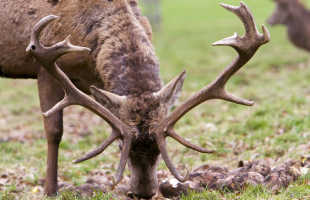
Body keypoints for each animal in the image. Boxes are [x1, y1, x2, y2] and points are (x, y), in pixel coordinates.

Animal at [6, 0, 270, 198]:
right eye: (122, 145)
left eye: (160, 150)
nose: (143, 193)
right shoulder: (45, 67)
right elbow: (54, 130)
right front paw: (51, 191)